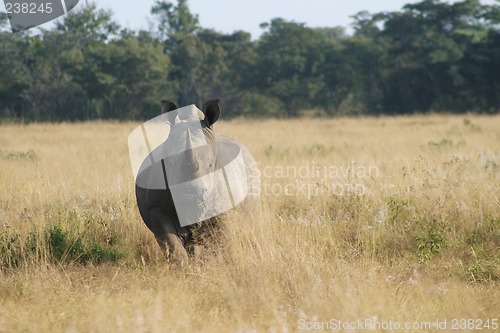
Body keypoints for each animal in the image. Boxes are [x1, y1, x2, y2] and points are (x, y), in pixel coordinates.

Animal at [135, 100, 260, 264]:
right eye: (169, 164)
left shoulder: (225, 206)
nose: (188, 194)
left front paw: (210, 265)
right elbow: (171, 242)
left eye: (211, 165)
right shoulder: (155, 207)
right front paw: (182, 266)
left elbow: (218, 242)